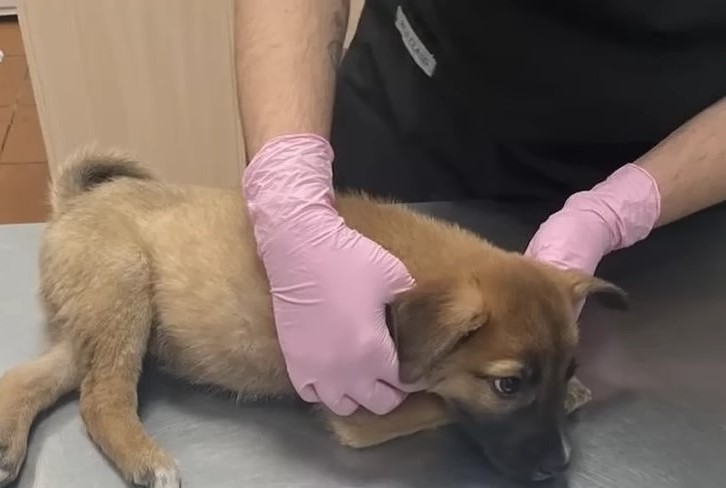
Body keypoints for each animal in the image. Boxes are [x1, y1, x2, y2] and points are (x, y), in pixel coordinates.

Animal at [0, 148, 624, 488]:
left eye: (567, 368)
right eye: (508, 385)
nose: (559, 465)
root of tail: (73, 203)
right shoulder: (361, 410)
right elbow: (440, 404)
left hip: (99, 315)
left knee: (33, 378)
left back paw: (7, 439)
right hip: (123, 284)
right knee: (100, 399)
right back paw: (146, 460)